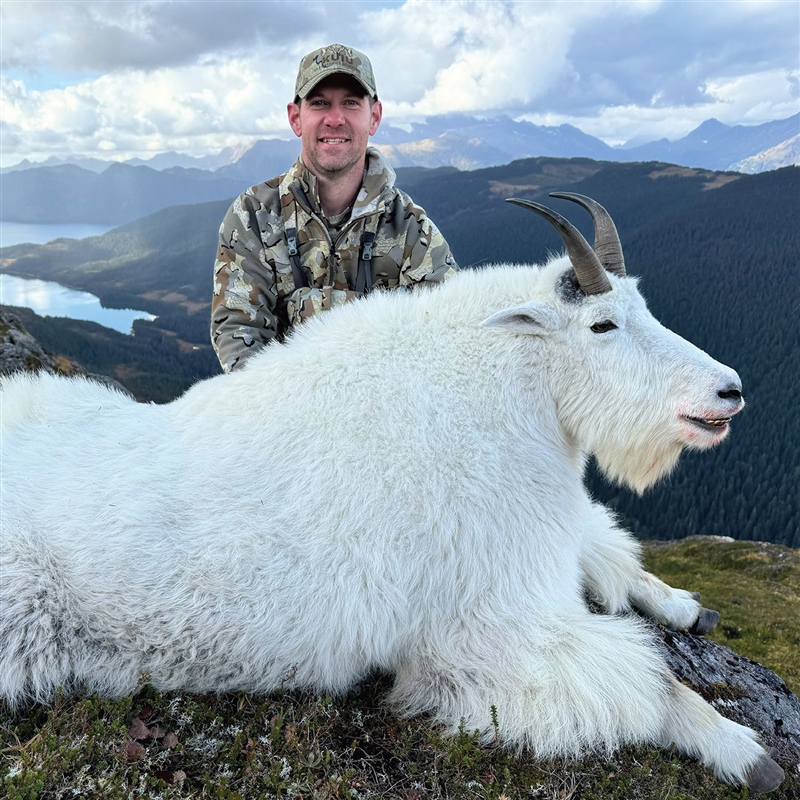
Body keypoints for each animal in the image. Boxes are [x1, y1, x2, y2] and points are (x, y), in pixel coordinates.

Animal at [0, 193, 784, 793]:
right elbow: (653, 684)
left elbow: (614, 557)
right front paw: (748, 753)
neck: (503, 398)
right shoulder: (481, 638)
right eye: (603, 324)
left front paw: (686, 606)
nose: (729, 391)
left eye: (642, 305)